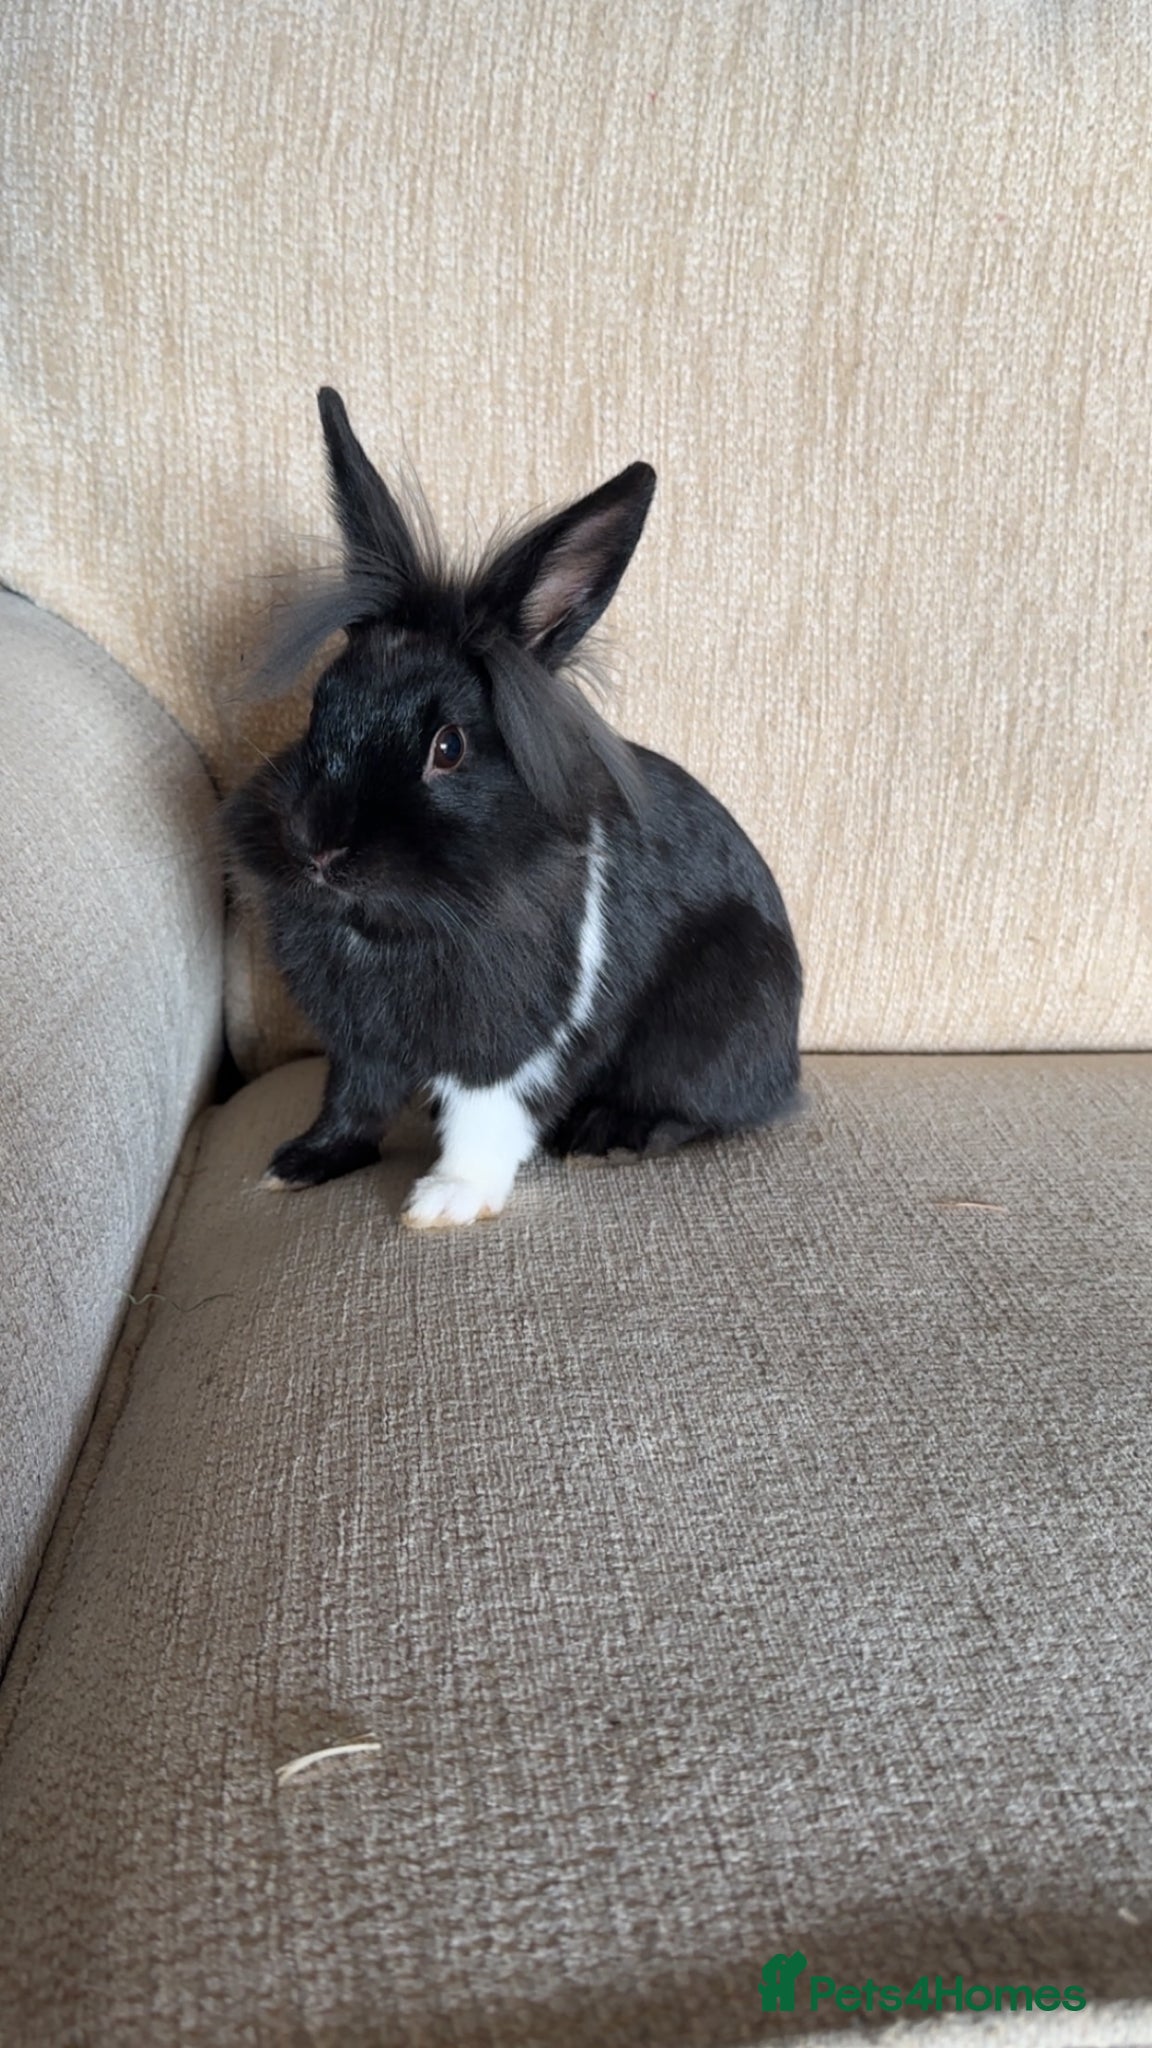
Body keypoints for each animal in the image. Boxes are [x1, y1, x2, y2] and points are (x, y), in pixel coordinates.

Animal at [222, 387, 802, 1229]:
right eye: (319, 707)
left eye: (450, 746)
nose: (320, 848)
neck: (391, 928)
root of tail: (790, 1056)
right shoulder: (361, 1039)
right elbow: (353, 1098)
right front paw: (301, 1163)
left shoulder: (518, 1039)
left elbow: (488, 1111)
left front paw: (444, 1200)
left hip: (716, 1019)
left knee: (705, 1109)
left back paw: (609, 1135)